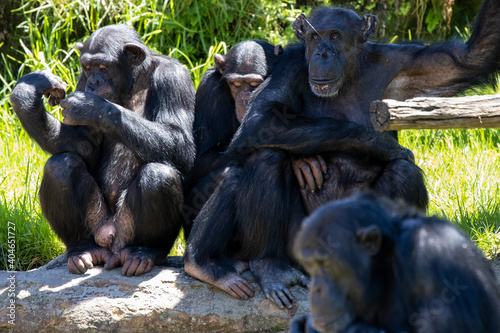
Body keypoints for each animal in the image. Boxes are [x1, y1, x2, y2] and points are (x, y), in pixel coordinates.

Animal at [10, 24, 195, 274]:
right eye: (88, 67)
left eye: (103, 67)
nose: (94, 82)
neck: (132, 83)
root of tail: (112, 246)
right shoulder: (80, 81)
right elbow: (84, 144)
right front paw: (28, 92)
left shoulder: (174, 78)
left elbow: (181, 142)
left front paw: (92, 107)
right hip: (98, 225)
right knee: (61, 166)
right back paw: (83, 249)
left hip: (125, 231)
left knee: (158, 174)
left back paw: (143, 253)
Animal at [185, 0, 500, 306]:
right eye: (315, 37)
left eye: (335, 36)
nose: (322, 53)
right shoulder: (290, 64)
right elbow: (262, 119)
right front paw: (374, 143)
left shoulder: (410, 64)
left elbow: (470, 59)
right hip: (299, 248)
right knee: (267, 156)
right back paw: (270, 267)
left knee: (404, 172)